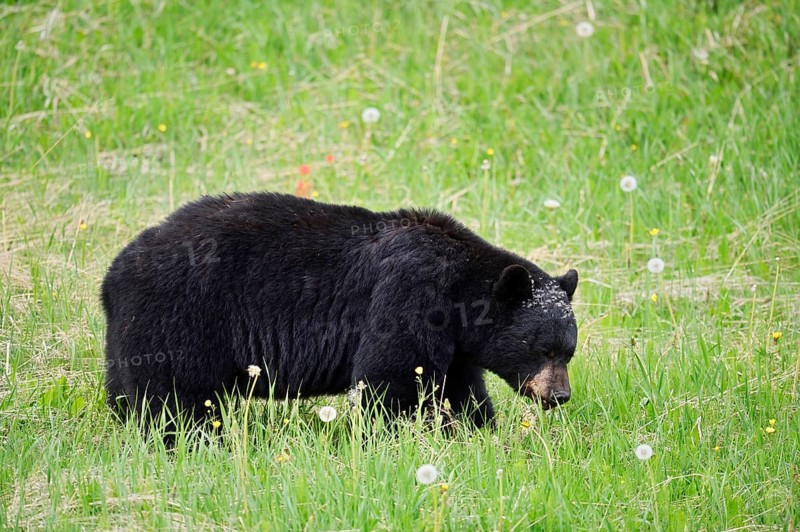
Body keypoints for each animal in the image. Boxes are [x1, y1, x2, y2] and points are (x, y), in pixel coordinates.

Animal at [102, 192, 578, 430]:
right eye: (543, 349)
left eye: (568, 352)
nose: (560, 395)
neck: (459, 288)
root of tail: (114, 272)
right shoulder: (411, 293)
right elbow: (393, 375)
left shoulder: (455, 342)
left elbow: (458, 389)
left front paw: (475, 431)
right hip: (180, 316)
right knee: (175, 394)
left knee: (127, 390)